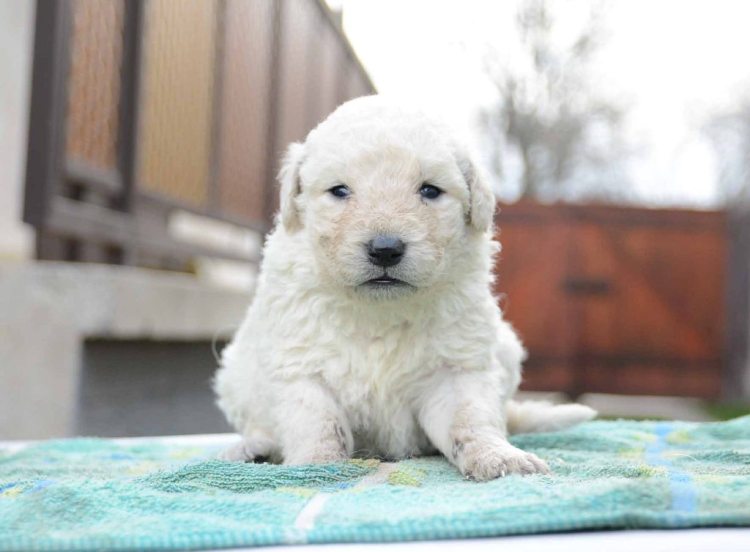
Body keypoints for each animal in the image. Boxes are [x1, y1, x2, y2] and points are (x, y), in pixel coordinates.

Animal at [214, 97, 596, 480]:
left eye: (429, 190)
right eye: (339, 191)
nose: (385, 249)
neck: (381, 310)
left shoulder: (457, 368)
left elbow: (469, 419)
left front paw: (499, 458)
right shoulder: (299, 364)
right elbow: (318, 423)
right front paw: (316, 465)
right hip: (234, 376)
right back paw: (253, 448)